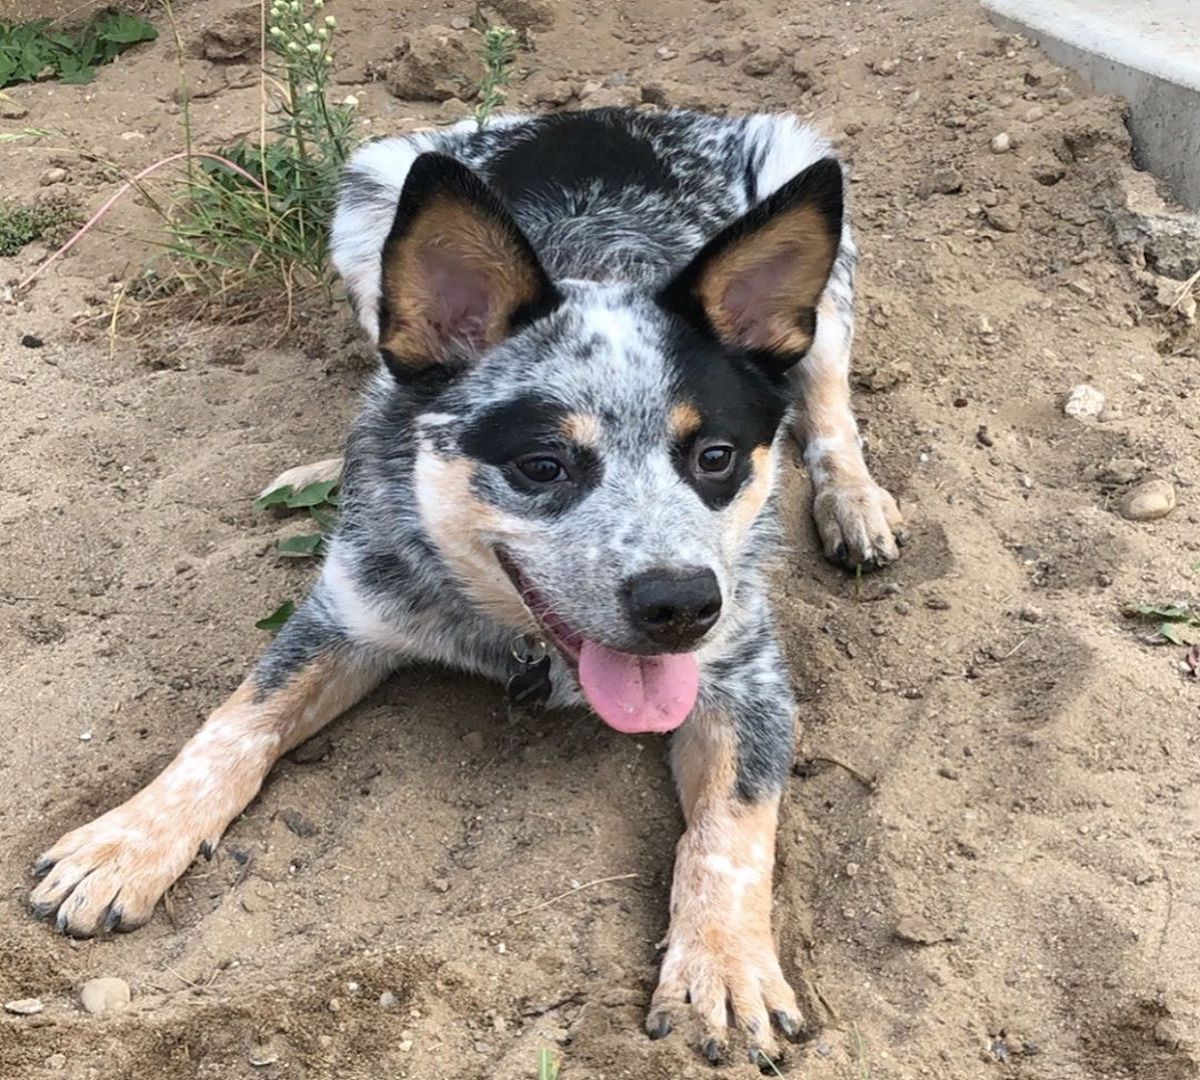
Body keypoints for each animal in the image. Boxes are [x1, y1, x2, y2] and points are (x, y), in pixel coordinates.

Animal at [30, 107, 902, 1060]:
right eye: (541, 465)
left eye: (714, 457)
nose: (680, 604)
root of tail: (598, 111)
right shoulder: (348, 610)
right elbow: (234, 724)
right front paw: (127, 842)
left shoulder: (749, 674)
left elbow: (732, 832)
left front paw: (724, 968)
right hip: (368, 201)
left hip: (813, 223)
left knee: (826, 405)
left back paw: (856, 501)